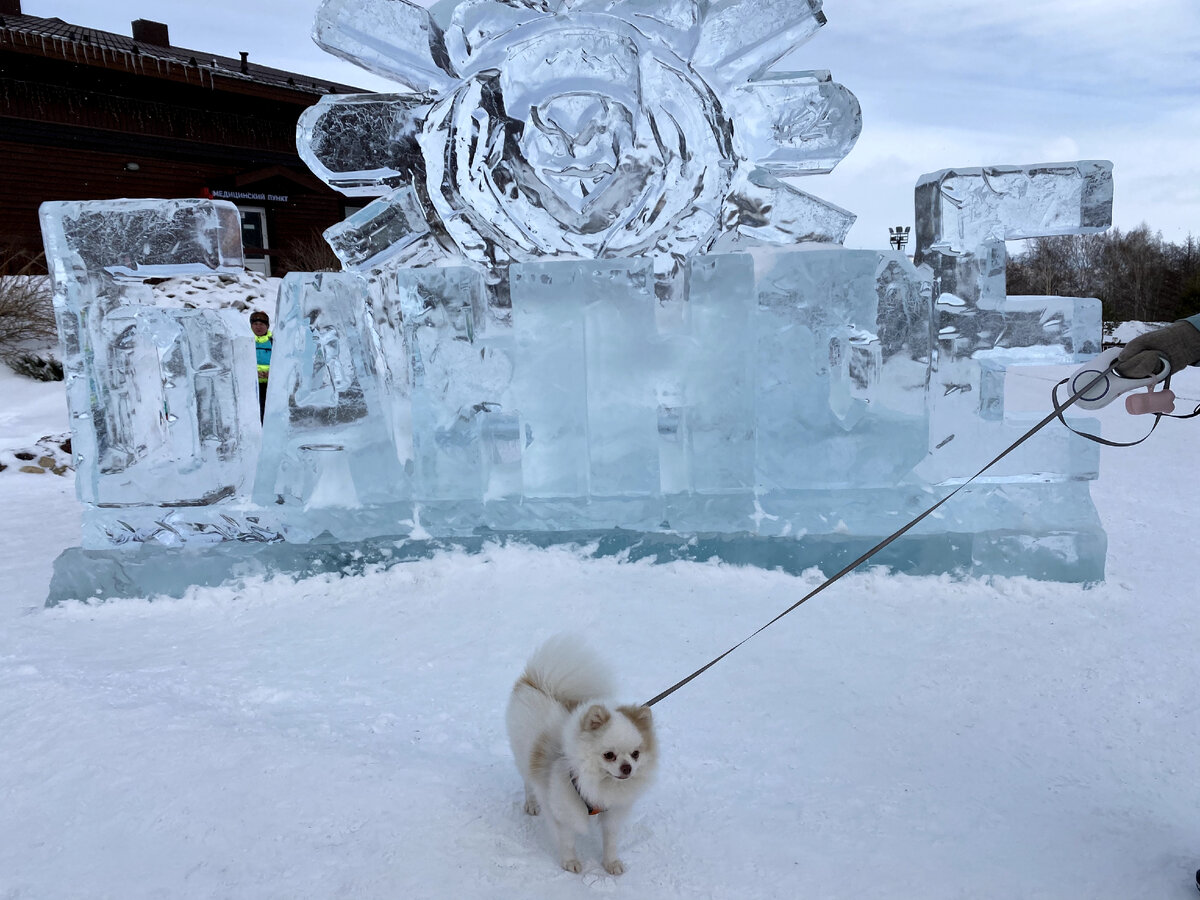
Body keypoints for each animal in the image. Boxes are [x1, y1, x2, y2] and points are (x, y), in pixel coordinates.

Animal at [504, 633, 662, 873]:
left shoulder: (612, 812)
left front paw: (611, 863)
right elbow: (567, 840)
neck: (599, 783)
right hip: (522, 753)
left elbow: (610, 840)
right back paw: (531, 804)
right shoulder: (564, 809)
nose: (627, 768)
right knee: (528, 781)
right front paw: (571, 862)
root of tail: (537, 682)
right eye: (609, 755)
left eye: (635, 754)